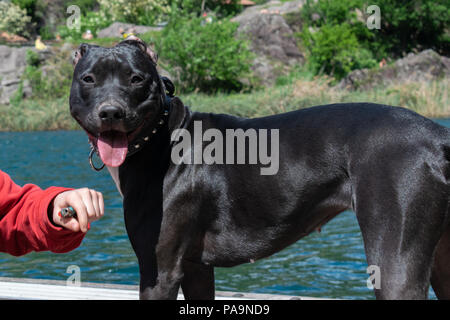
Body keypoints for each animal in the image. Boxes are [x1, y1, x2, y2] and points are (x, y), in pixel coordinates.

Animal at [69, 39, 450, 300]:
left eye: (135, 79)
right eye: (88, 79)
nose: (111, 112)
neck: (161, 136)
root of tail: (436, 134)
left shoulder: (159, 270)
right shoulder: (194, 267)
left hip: (395, 265)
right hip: (438, 257)